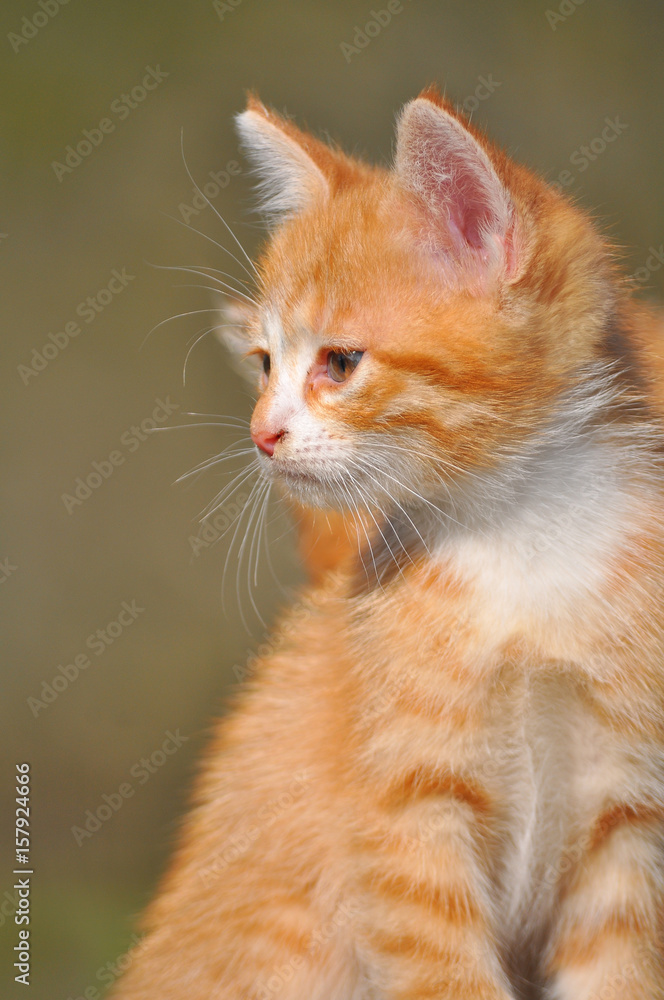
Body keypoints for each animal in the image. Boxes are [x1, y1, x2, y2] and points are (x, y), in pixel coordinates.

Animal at [113, 90, 664, 996]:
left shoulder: (635, 823)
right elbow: (447, 977)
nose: (261, 435)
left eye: (339, 363)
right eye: (265, 363)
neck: (522, 538)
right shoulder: (402, 825)